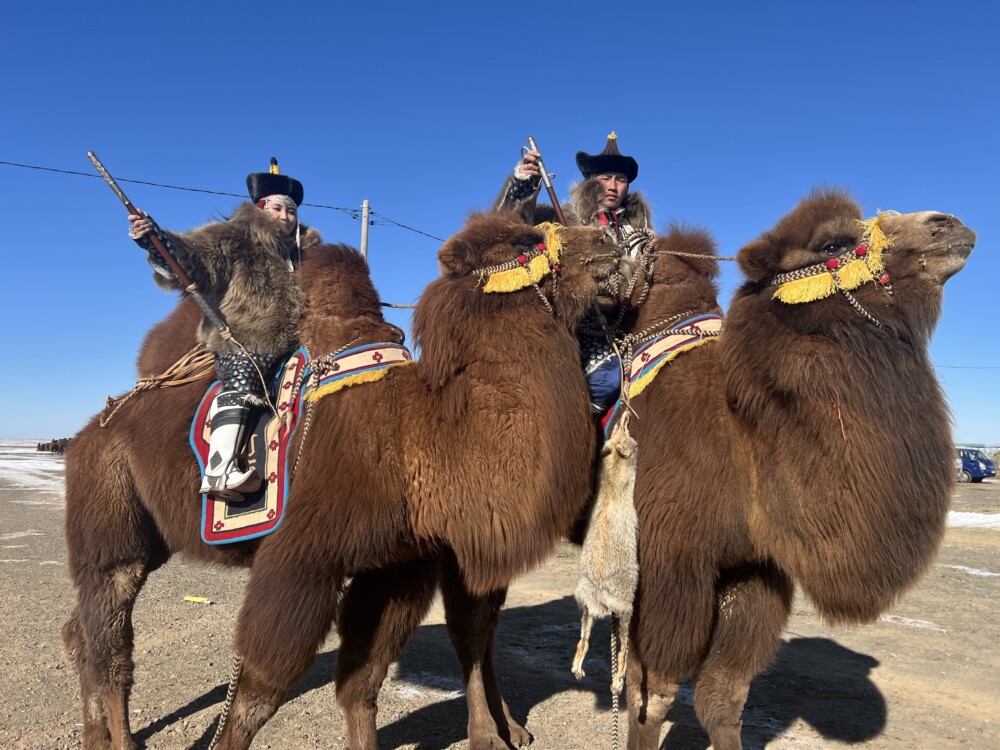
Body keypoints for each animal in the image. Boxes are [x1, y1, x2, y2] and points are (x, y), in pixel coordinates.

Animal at [62, 213, 621, 750]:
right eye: (526, 240)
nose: (608, 239)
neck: (421, 434)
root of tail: (92, 428)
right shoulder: (304, 557)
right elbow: (259, 692)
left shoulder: (397, 566)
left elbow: (362, 682)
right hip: (110, 514)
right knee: (110, 640)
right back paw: (122, 741)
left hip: (147, 534)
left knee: (82, 633)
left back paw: (95, 735)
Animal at [600, 190, 975, 750]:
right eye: (832, 243)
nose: (948, 224)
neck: (740, 436)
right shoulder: (665, 562)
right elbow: (653, 695)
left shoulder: (753, 570)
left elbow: (724, 698)